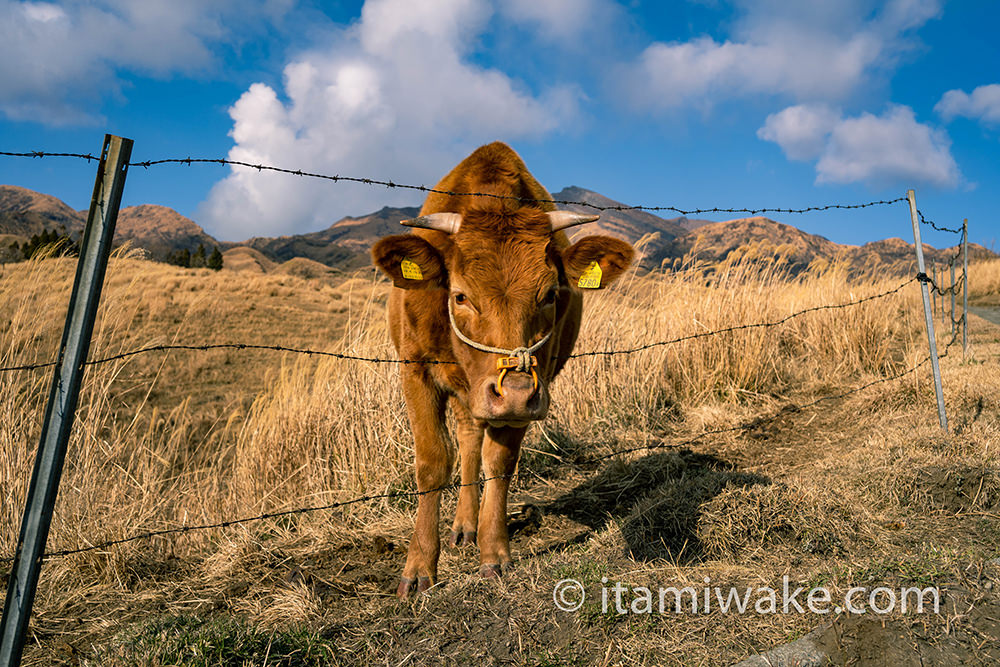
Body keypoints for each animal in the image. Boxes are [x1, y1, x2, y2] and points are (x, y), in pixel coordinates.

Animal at [368, 140, 632, 596]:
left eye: (550, 294)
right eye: (460, 296)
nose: (514, 392)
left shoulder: (527, 395)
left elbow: (499, 463)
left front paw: (493, 552)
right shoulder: (415, 369)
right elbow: (432, 462)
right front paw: (419, 566)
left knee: (474, 438)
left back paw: (469, 524)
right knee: (466, 437)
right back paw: (461, 525)